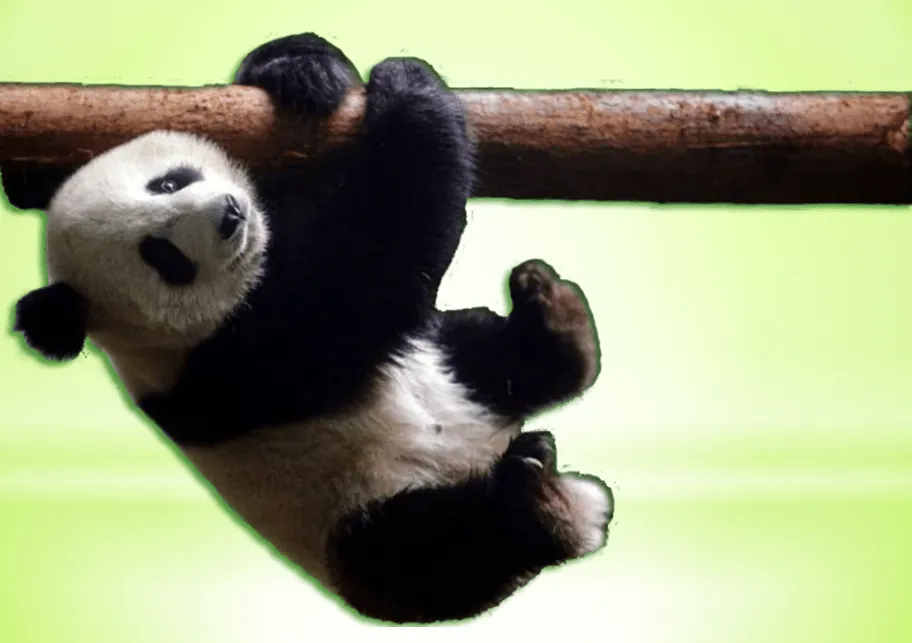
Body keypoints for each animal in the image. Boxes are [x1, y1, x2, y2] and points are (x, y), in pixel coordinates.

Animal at [7, 33, 614, 624]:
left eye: (169, 182)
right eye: (162, 257)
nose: (229, 214)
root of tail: (487, 447)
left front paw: (302, 70)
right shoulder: (242, 363)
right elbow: (371, 266)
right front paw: (408, 87)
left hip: (446, 370)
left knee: (482, 355)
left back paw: (558, 324)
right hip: (364, 520)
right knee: (443, 546)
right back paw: (547, 505)